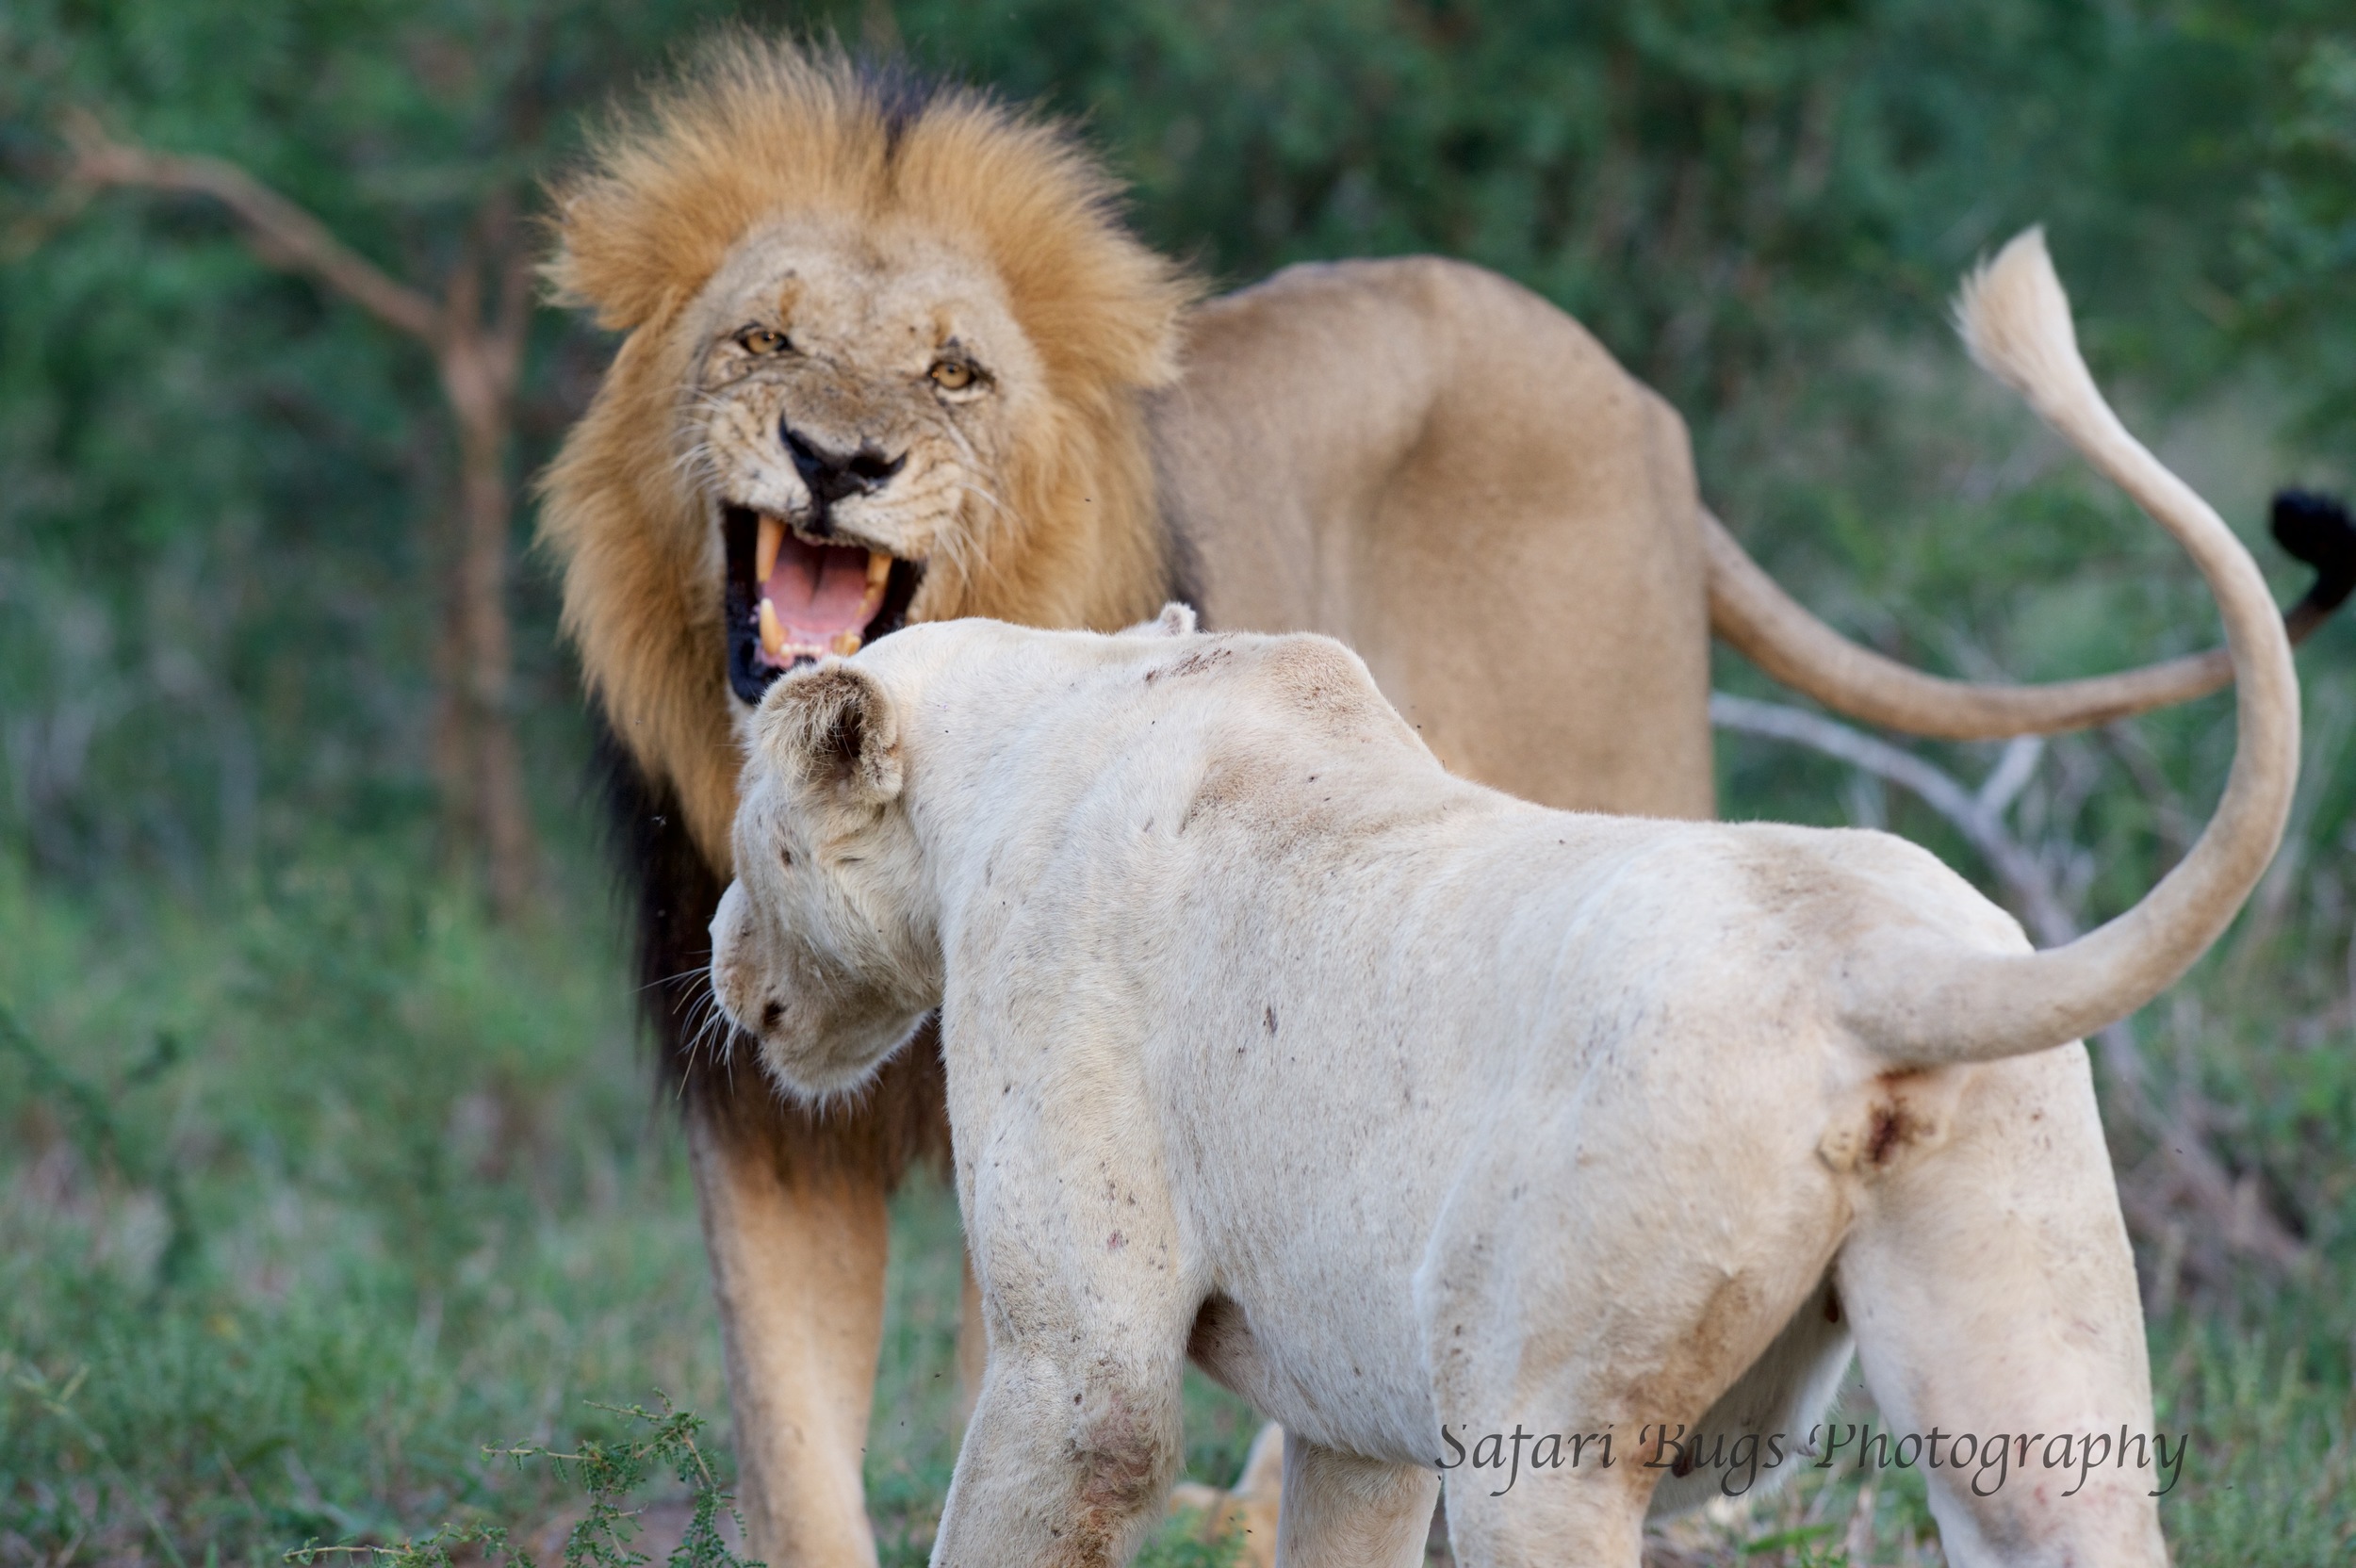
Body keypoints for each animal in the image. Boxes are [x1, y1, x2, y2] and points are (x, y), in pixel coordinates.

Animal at [539, 40, 2337, 1563]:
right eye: (762, 337)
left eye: (761, 832)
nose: (715, 950)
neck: (1061, 712)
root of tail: (1882, 970)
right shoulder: (1355, 1414)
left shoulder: (1081, 1361)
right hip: (2038, 1408)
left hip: (1541, 1427)